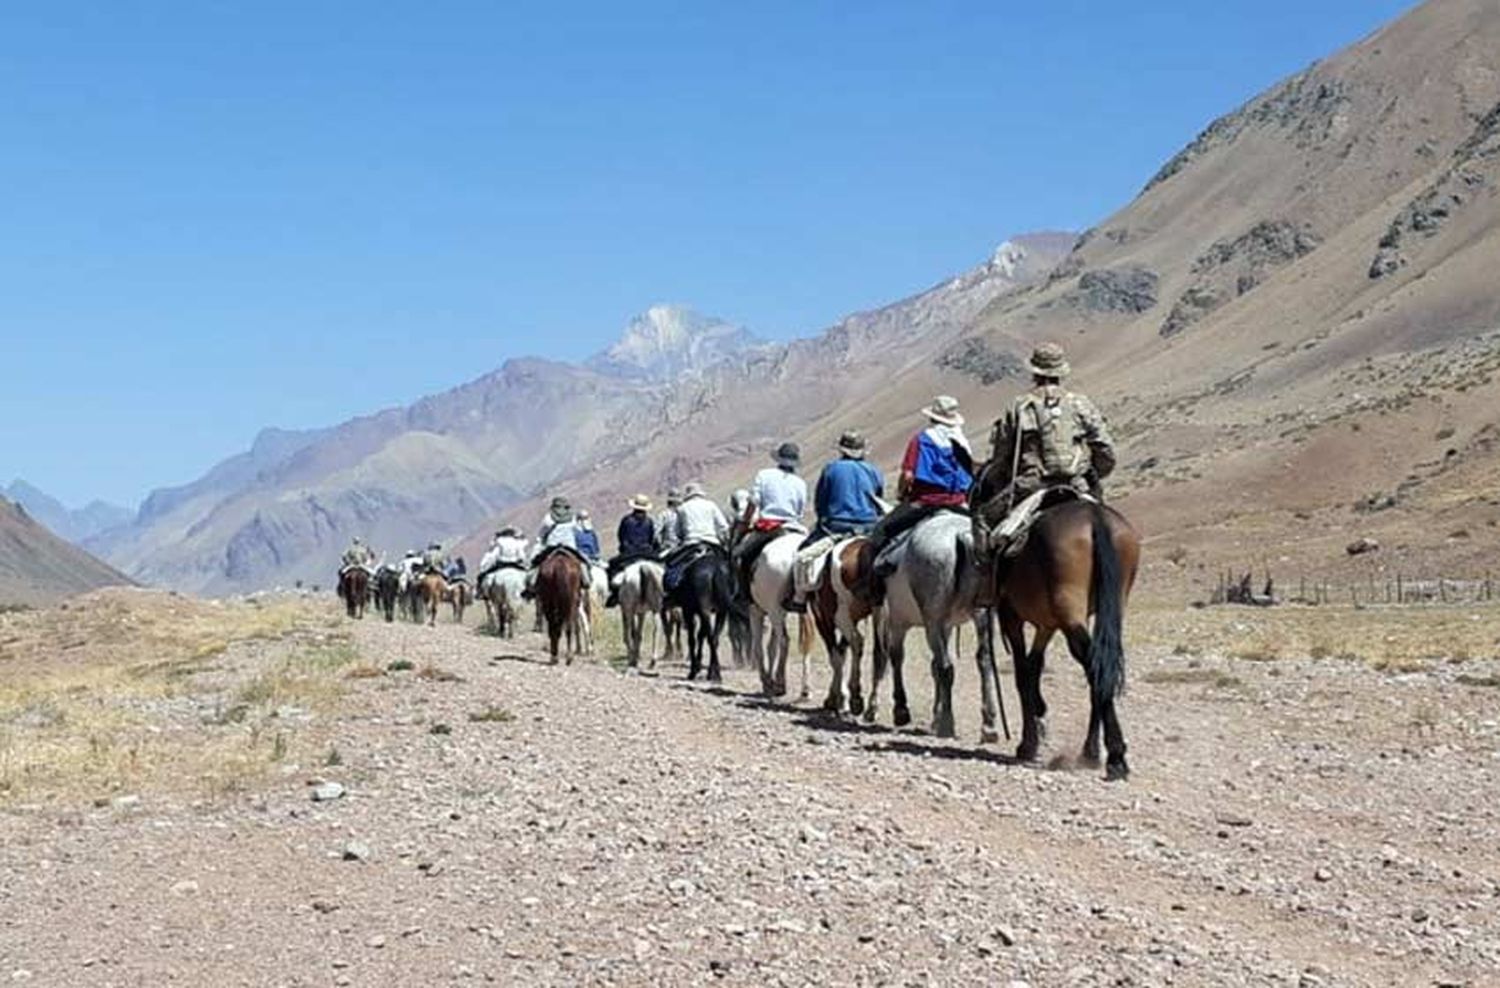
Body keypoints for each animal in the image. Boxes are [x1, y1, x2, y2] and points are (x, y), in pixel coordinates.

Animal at [864, 509, 1002, 743]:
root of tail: (962, 536)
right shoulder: (945, 625)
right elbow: (931, 666)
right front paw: (933, 717)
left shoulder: (894, 620)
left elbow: (891, 657)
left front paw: (897, 710)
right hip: (981, 615)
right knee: (983, 661)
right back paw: (988, 725)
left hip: (931, 621)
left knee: (946, 667)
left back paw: (947, 723)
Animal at [990, 503, 1140, 779]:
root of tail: (1094, 517)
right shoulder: (1048, 625)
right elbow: (1034, 667)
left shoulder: (1011, 617)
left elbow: (1023, 674)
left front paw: (1028, 743)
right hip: (1112, 604)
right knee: (1100, 666)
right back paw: (1094, 752)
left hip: (1069, 610)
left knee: (1091, 663)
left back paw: (1114, 756)